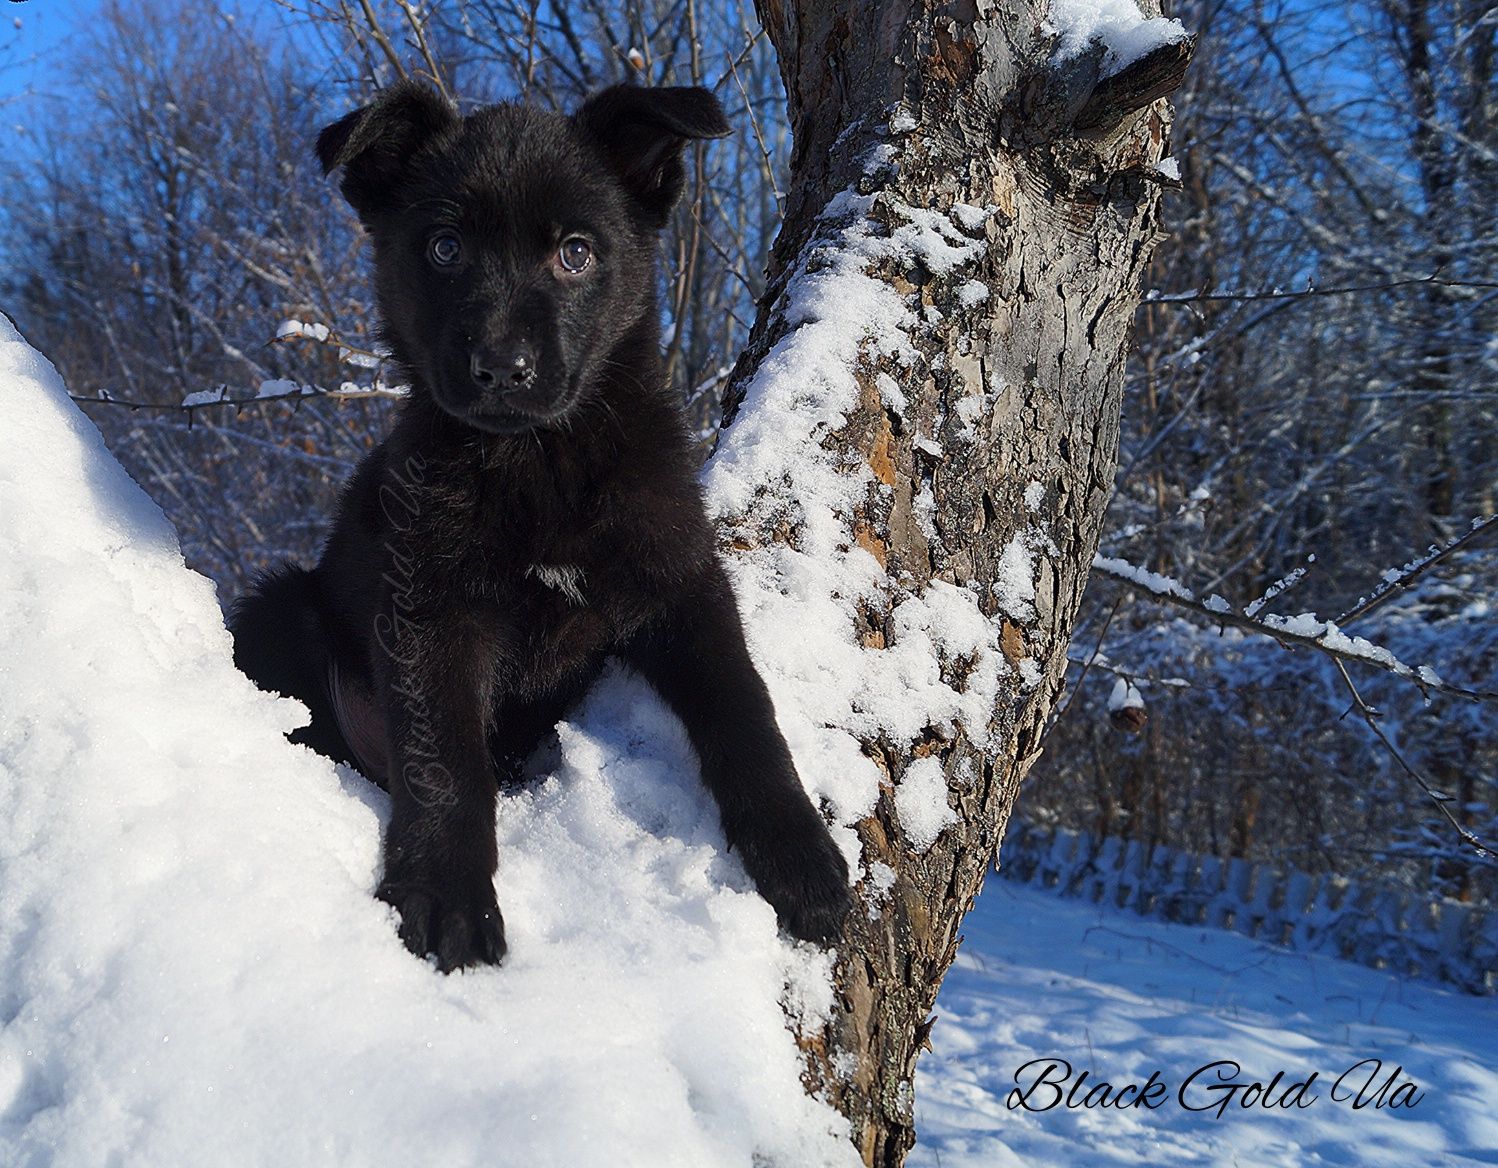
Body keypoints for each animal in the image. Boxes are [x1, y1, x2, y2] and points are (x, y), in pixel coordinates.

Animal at [227, 81, 850, 970]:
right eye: (445, 248)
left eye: (576, 253)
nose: (500, 368)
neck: (539, 459)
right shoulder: (429, 610)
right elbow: (446, 765)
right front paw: (449, 897)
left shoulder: (684, 582)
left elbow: (745, 707)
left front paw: (803, 857)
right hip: (284, 605)